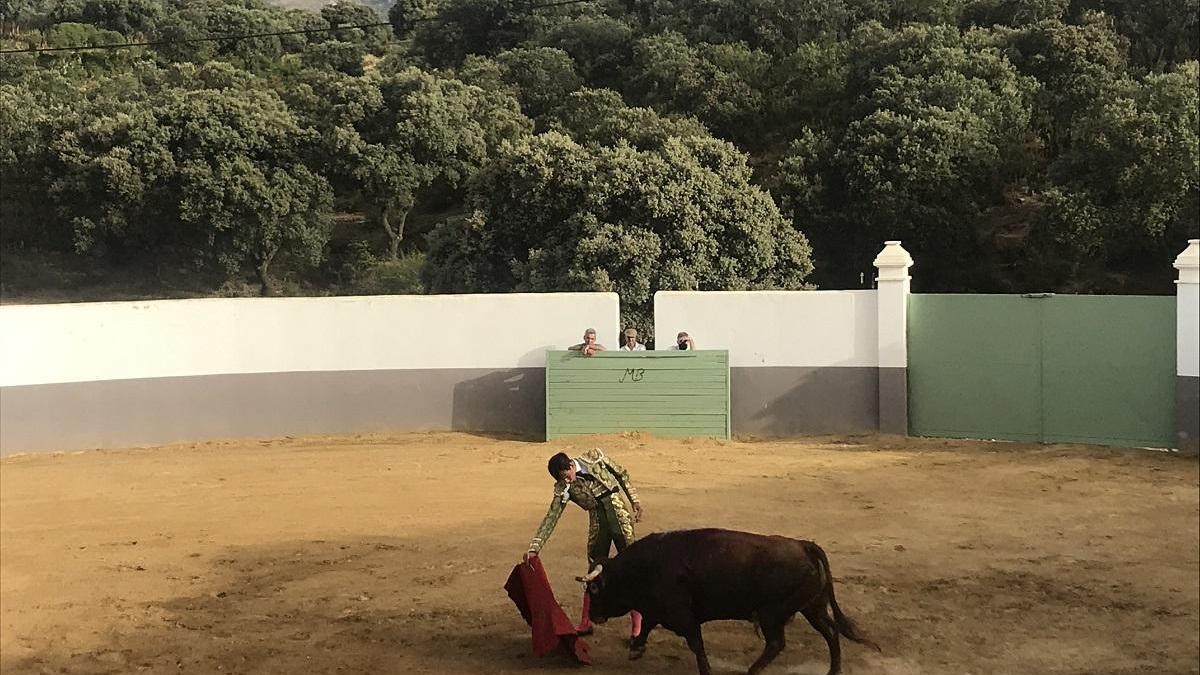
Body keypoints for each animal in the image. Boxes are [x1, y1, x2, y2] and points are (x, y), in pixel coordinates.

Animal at [576, 526, 878, 672]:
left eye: (595, 590)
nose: (593, 616)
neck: (643, 567)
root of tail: (804, 545)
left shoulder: (682, 615)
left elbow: (696, 644)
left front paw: (706, 670)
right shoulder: (660, 610)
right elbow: (648, 625)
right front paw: (636, 649)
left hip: (771, 614)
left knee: (777, 644)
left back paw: (751, 671)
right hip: (812, 607)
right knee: (830, 632)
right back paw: (833, 671)